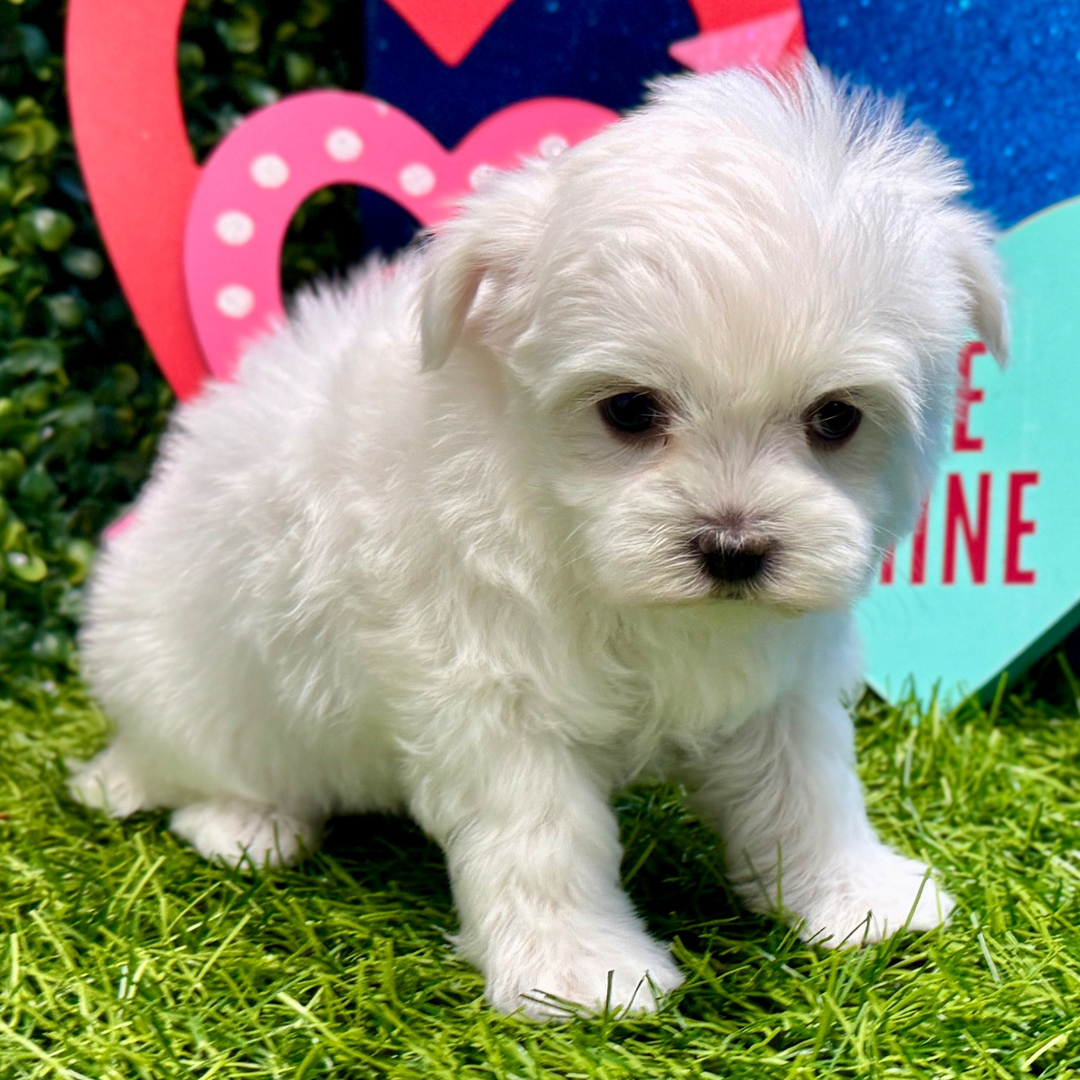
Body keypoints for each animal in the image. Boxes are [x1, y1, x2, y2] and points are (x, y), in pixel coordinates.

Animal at [71, 62, 1007, 1019]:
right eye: (629, 409)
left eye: (836, 418)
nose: (733, 547)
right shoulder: (487, 685)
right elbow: (540, 832)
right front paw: (579, 972)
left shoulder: (780, 672)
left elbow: (807, 785)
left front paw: (857, 897)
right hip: (187, 678)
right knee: (203, 765)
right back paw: (244, 821)